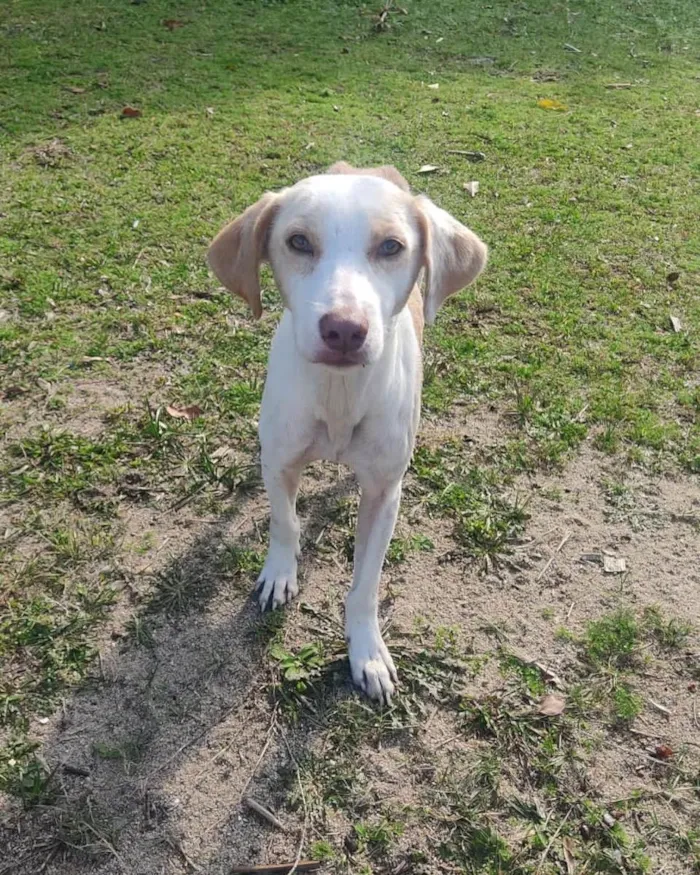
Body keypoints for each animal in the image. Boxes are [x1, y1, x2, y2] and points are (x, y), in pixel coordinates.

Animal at [208, 161, 486, 700]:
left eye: (391, 247)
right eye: (298, 241)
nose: (343, 329)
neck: (339, 395)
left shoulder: (384, 492)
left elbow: (366, 584)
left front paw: (367, 652)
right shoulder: (280, 462)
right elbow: (285, 522)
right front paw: (280, 572)